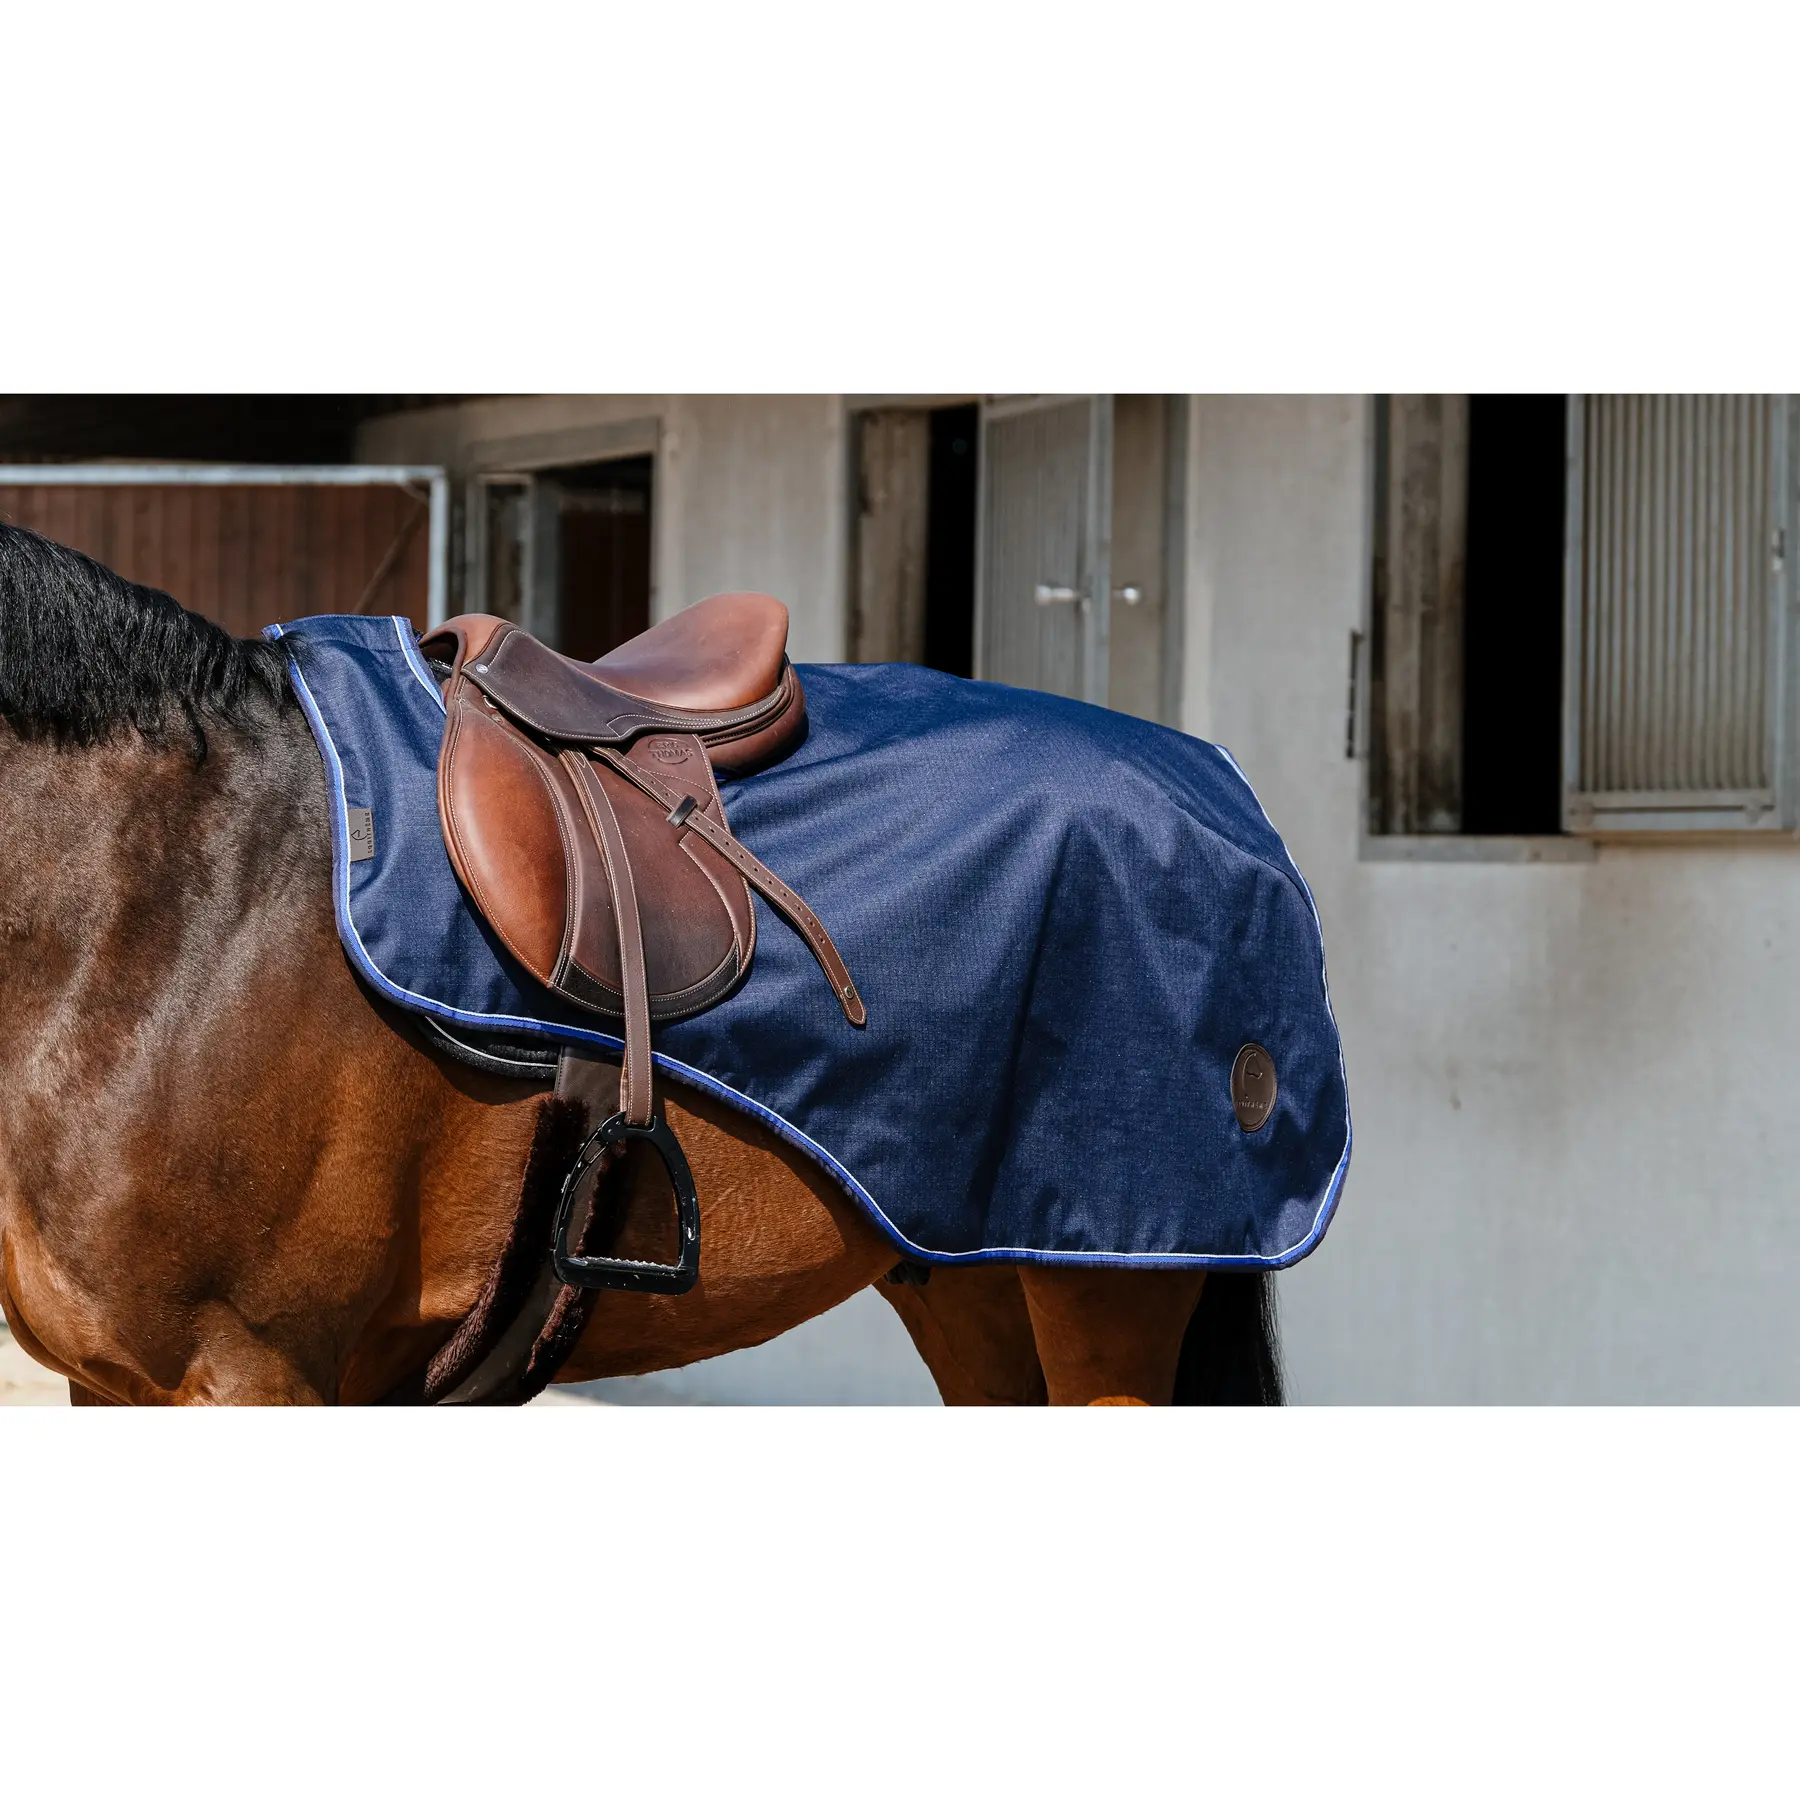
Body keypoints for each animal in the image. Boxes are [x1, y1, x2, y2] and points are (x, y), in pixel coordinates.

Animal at [0, 523, 1283, 1406]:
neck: (172, 900)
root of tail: (1216, 787)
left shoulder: (252, 1368)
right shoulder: (119, 1380)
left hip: (1113, 1279)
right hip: (975, 1270)